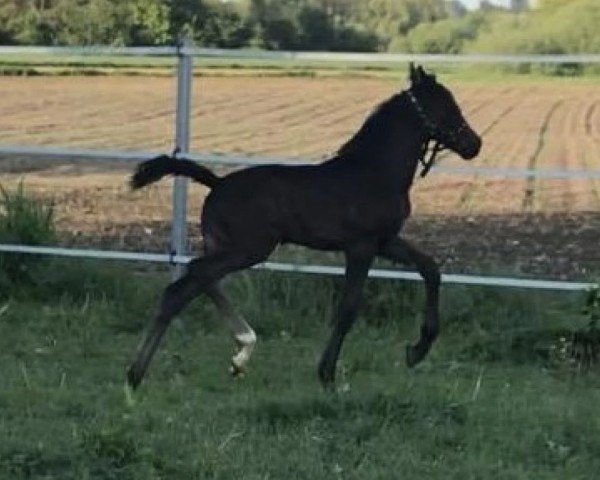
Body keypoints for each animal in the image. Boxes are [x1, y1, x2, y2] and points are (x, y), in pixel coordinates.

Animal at [126, 63, 482, 388]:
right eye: (447, 107)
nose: (474, 144)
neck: (374, 170)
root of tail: (217, 182)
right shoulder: (361, 246)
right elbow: (348, 309)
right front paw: (327, 375)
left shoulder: (386, 241)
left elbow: (430, 269)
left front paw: (416, 351)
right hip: (249, 248)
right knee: (186, 283)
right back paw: (135, 376)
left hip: (226, 246)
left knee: (200, 278)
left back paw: (241, 351)